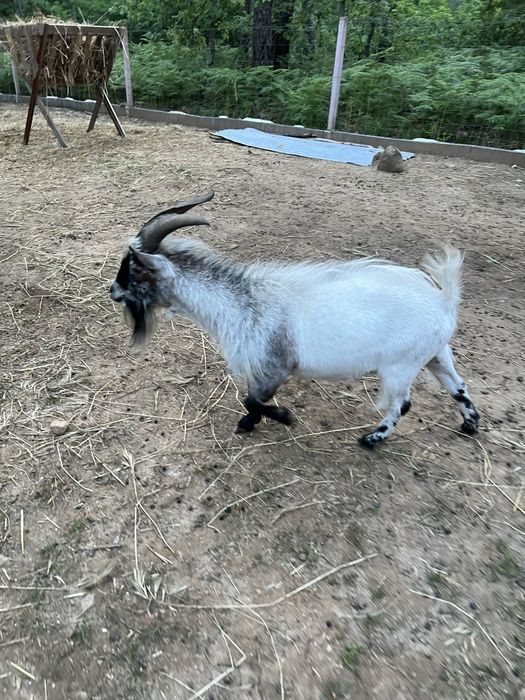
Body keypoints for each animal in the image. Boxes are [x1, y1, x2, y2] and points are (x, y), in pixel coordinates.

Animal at [110, 190, 480, 447]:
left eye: (135, 269)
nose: (113, 291)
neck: (240, 303)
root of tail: (444, 301)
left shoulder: (276, 364)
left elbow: (253, 399)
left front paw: (283, 418)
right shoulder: (262, 368)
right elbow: (252, 398)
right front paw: (249, 424)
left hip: (400, 365)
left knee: (402, 404)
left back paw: (372, 439)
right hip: (436, 354)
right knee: (458, 387)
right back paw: (469, 426)